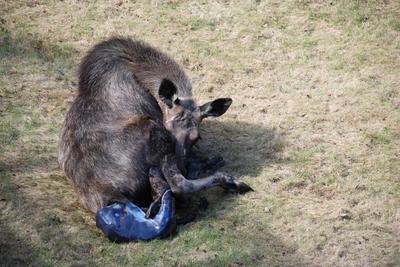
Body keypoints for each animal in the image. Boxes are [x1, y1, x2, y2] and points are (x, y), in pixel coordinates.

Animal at [57, 37, 252, 241]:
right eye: (169, 129)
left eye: (196, 138)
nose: (183, 165)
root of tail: (111, 195)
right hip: (153, 133)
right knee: (179, 187)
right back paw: (227, 179)